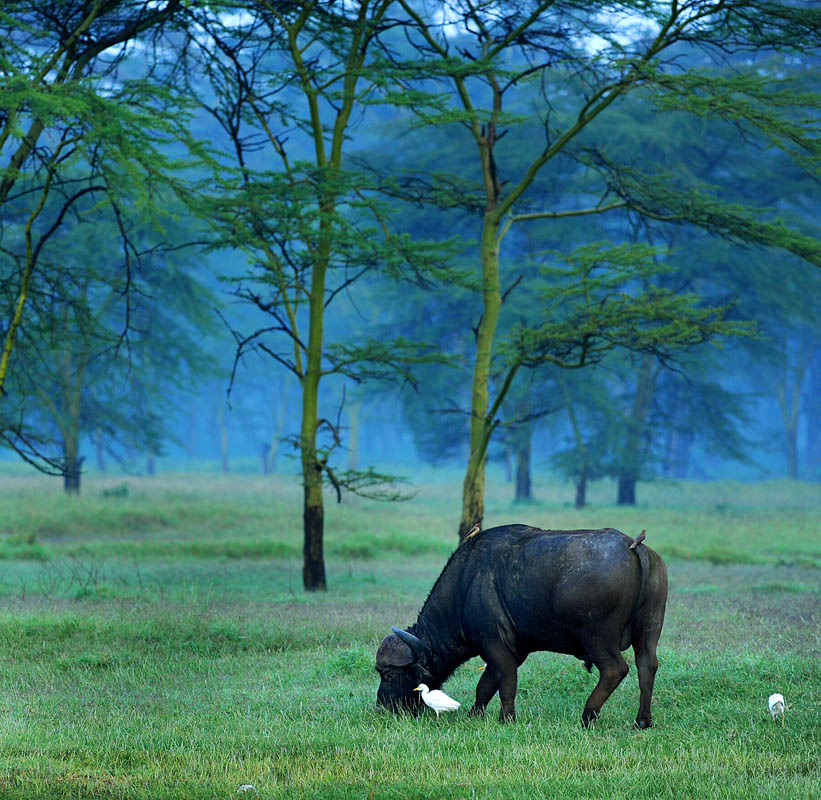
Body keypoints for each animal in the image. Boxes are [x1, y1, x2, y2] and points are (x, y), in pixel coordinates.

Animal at [376, 520, 668, 728]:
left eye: (388, 674)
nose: (382, 707)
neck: (465, 584)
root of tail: (632, 545)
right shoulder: (510, 651)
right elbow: (486, 685)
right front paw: (474, 714)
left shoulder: (496, 645)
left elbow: (506, 683)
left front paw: (506, 718)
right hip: (650, 630)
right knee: (647, 666)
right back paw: (642, 720)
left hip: (596, 637)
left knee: (615, 669)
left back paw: (587, 715)